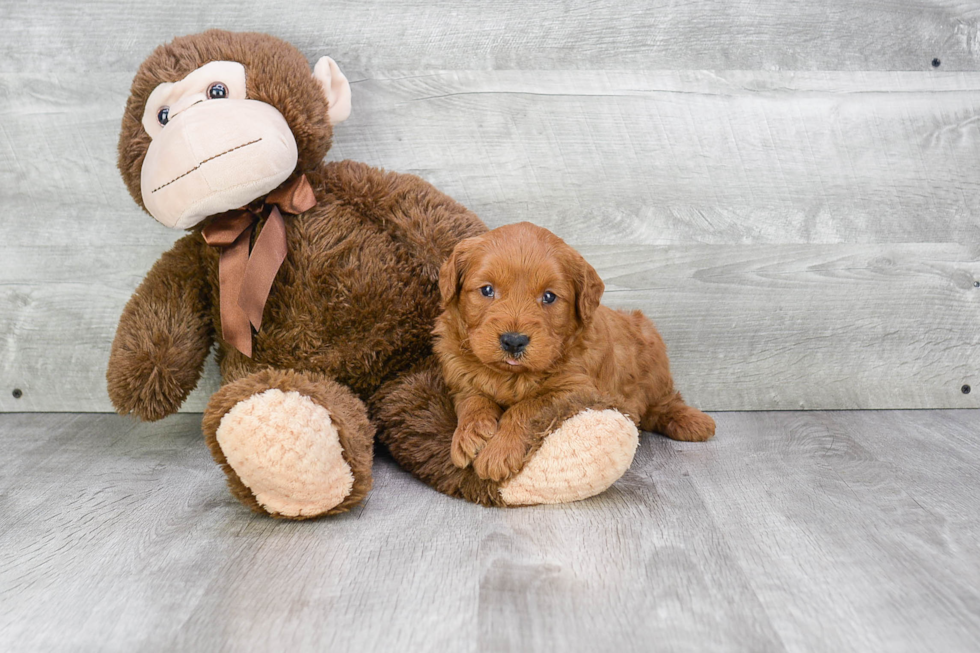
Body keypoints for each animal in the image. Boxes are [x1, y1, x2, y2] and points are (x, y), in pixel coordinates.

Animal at [432, 222, 716, 482]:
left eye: (549, 297)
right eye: (487, 290)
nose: (513, 341)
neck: (511, 376)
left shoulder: (577, 390)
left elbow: (527, 407)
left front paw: (499, 452)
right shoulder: (460, 376)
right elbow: (473, 400)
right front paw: (470, 435)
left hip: (654, 358)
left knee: (664, 403)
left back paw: (694, 422)